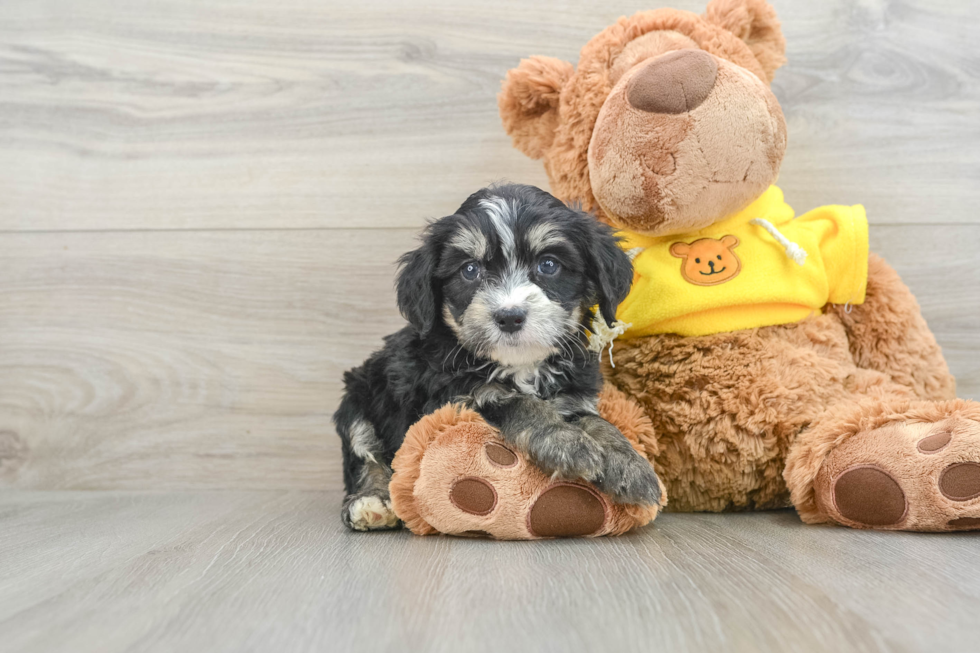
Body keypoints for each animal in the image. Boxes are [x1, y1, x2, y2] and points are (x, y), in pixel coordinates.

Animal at [334, 183, 664, 528]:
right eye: (470, 270)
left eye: (548, 265)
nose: (509, 316)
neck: (520, 365)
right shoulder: (455, 398)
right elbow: (518, 402)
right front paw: (565, 443)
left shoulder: (574, 396)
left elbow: (598, 422)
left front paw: (629, 464)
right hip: (357, 396)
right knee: (364, 455)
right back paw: (371, 501)